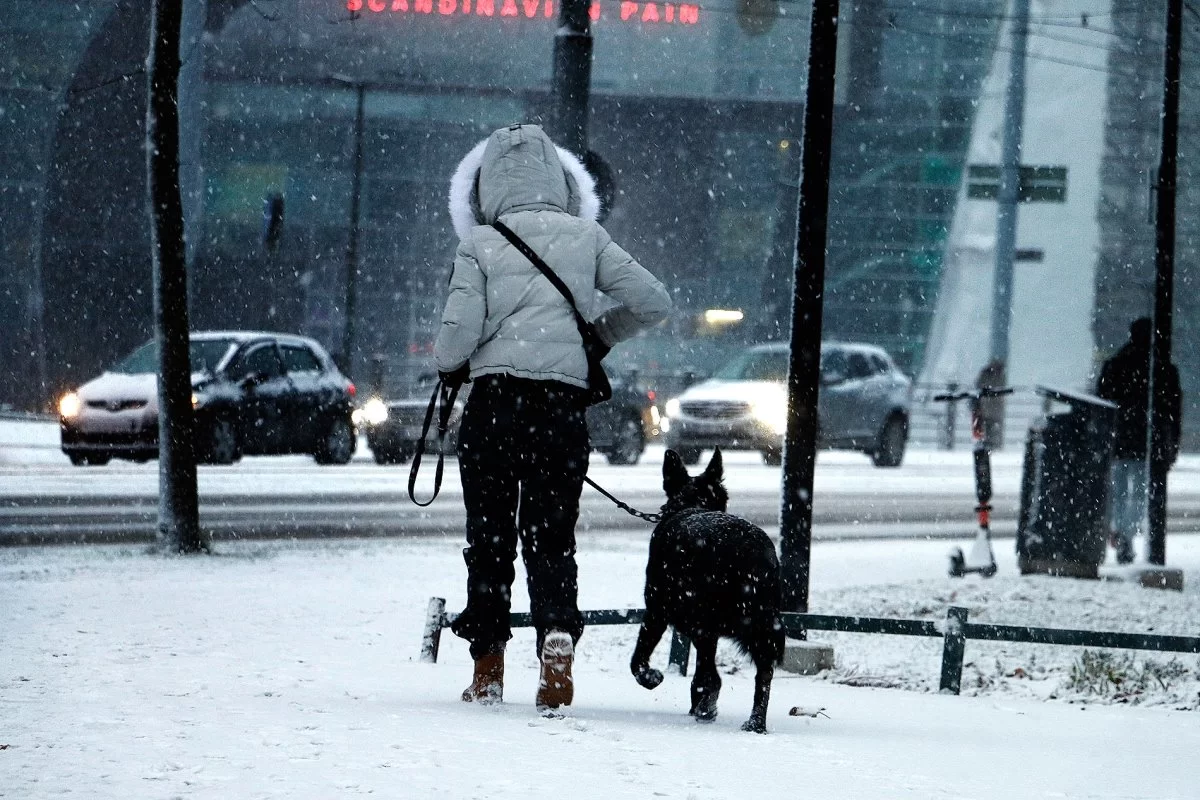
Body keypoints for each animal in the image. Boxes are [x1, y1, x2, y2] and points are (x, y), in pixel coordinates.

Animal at [628, 448, 787, 734]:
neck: (695, 504)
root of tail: (750, 554)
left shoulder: (656, 612)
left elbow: (639, 659)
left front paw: (652, 678)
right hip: (760, 627)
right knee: (763, 674)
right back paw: (755, 723)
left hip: (704, 620)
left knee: (710, 674)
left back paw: (706, 710)